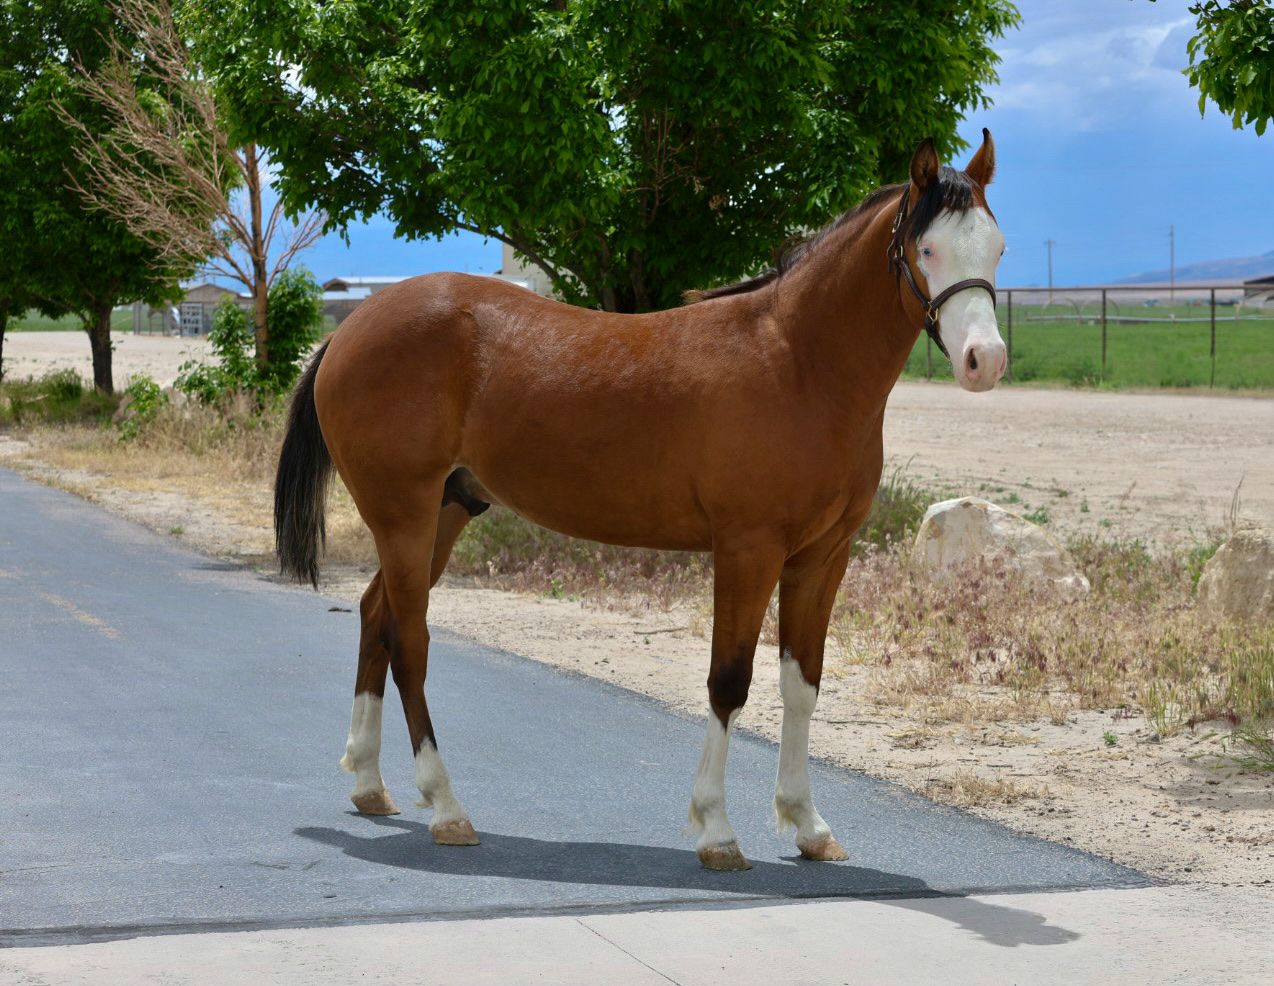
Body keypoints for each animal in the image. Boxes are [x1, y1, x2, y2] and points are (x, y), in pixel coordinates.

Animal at [274, 131, 1007, 871]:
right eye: (927, 249)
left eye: (998, 248)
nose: (987, 361)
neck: (798, 362)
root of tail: (350, 330)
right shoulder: (748, 549)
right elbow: (729, 680)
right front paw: (716, 830)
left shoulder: (822, 557)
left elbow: (802, 685)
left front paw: (808, 824)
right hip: (405, 515)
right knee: (409, 638)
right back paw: (447, 808)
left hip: (444, 514)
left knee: (375, 617)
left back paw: (371, 784)